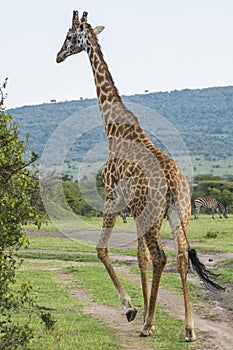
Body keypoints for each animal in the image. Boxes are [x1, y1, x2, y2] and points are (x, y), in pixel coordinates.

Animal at [55, 9, 223, 340]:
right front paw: (146, 312)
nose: (57, 56)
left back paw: (147, 326)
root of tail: (172, 181)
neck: (115, 129)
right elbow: (139, 257)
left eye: (69, 36)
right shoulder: (133, 210)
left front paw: (133, 309)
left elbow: (102, 249)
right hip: (179, 212)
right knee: (180, 257)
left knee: (161, 256)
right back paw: (188, 328)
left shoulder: (111, 198)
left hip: (152, 213)